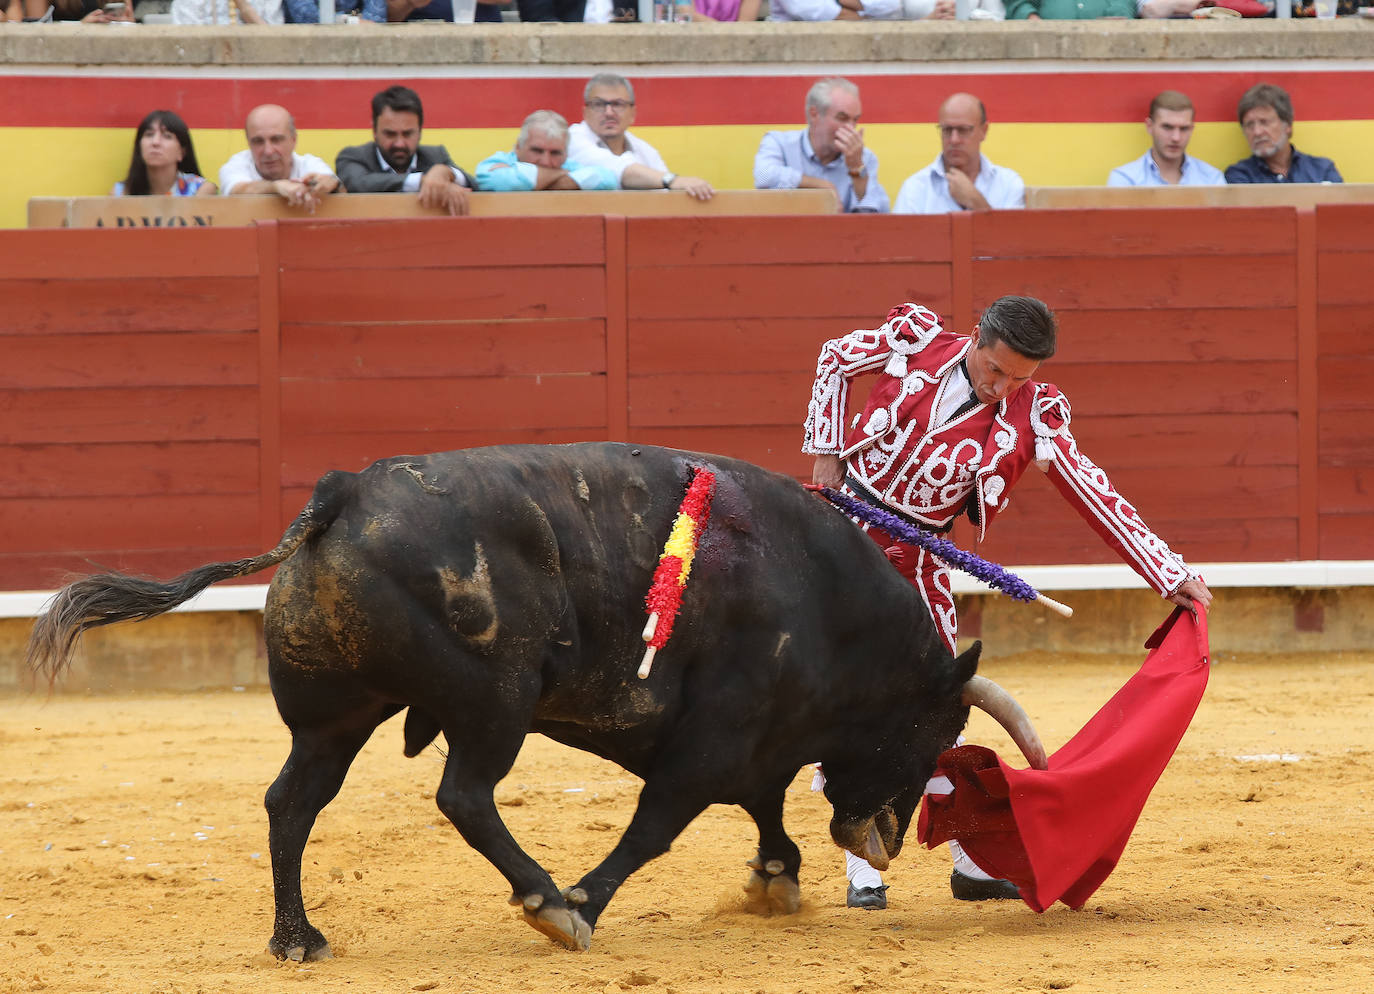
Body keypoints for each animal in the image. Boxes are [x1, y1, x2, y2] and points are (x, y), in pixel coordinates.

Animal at [29, 442, 1033, 956]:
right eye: (932, 732)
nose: (884, 840)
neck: (822, 597)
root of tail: (341, 496)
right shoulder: (716, 735)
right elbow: (661, 823)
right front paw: (585, 901)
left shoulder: (755, 742)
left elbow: (765, 805)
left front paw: (776, 880)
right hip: (495, 704)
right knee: (464, 796)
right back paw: (548, 900)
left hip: (337, 716)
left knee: (291, 803)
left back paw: (298, 937)